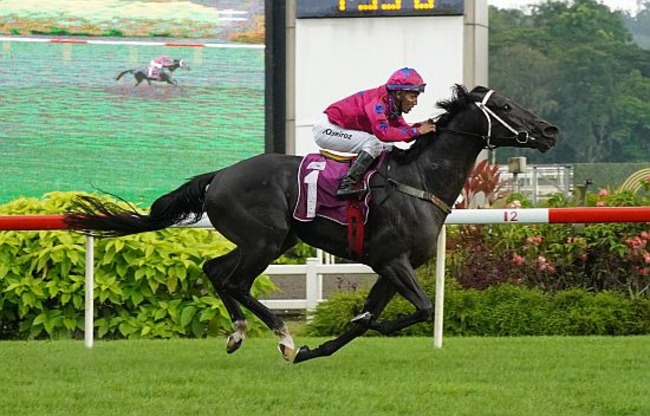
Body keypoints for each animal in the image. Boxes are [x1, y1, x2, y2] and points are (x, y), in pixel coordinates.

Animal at [62, 85, 556, 364]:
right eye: (506, 105)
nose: (549, 130)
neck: (418, 180)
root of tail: (219, 175)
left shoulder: (390, 268)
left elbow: (366, 320)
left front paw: (314, 349)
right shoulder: (391, 260)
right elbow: (421, 309)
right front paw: (324, 339)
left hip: (272, 241)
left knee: (215, 271)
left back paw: (240, 334)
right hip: (265, 240)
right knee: (235, 281)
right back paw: (280, 337)